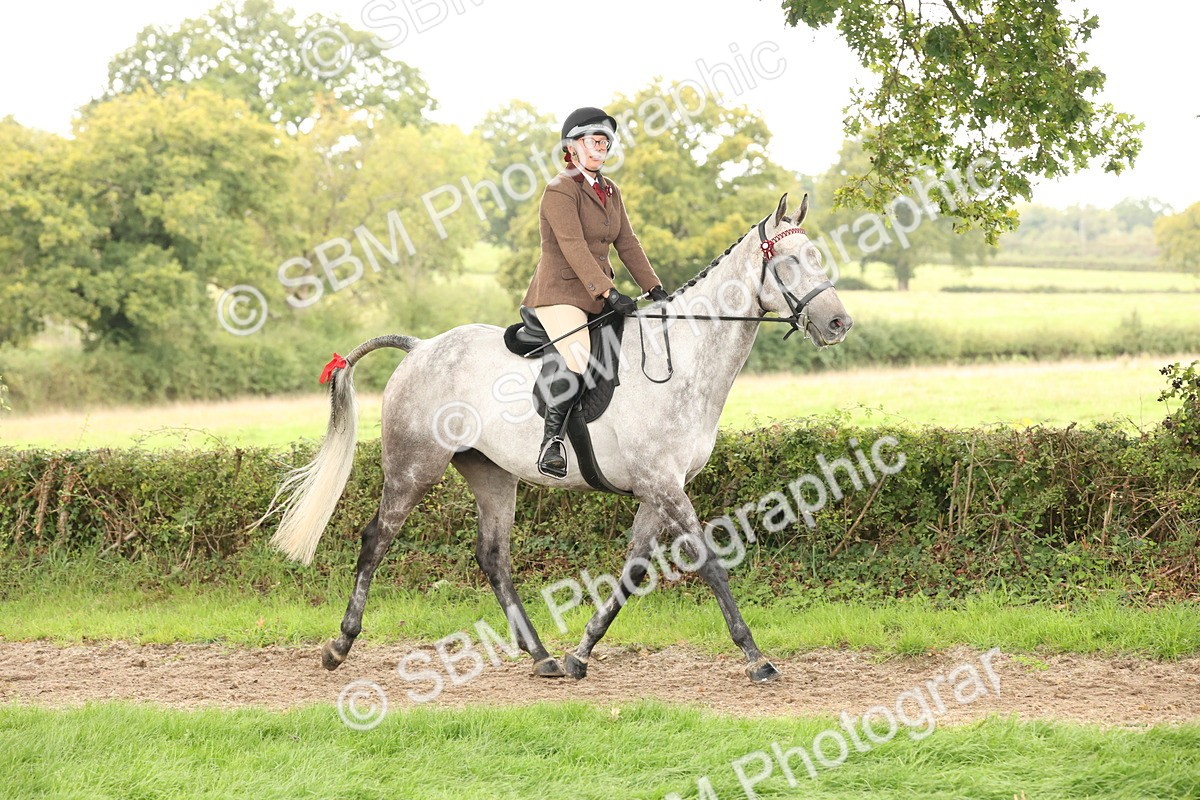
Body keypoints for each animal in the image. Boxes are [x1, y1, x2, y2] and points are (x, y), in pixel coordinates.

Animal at [262, 193, 852, 683]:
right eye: (788, 262)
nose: (839, 324)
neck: (683, 356)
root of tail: (421, 347)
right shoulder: (663, 484)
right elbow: (709, 561)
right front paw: (756, 657)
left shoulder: (658, 489)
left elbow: (633, 569)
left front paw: (579, 654)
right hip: (414, 468)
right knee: (376, 540)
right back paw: (339, 647)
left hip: (491, 474)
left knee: (493, 558)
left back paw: (542, 655)